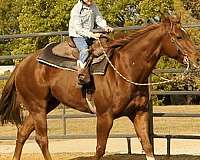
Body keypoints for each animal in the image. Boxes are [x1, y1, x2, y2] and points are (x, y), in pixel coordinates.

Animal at [0, 15, 199, 160]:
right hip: (38, 107)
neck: (125, 67)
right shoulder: (104, 117)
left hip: (45, 105)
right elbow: (100, 148)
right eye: (179, 36)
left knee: (22, 132)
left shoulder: (139, 113)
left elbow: (147, 145)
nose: (197, 57)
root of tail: (22, 64)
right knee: (42, 139)